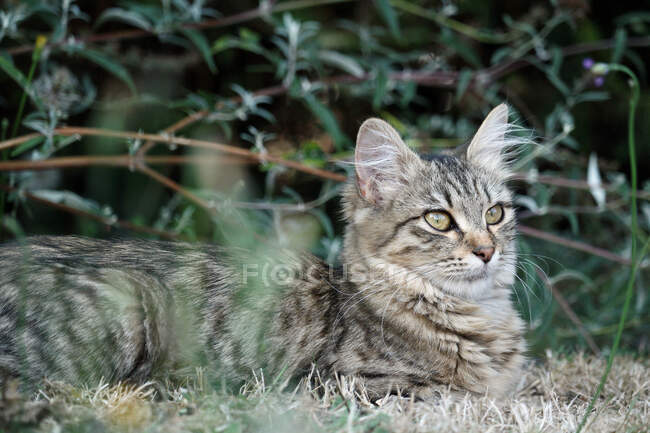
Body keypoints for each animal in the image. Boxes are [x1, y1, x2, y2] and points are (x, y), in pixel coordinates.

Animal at [0, 104, 524, 398]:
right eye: (438, 220)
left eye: (494, 214)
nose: (486, 252)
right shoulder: (342, 384)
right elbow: (461, 396)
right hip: (126, 302)